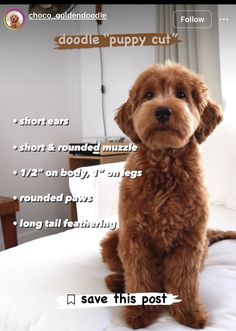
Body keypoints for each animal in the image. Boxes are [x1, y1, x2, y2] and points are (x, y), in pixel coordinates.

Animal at [100, 63, 236, 330]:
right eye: (148, 95)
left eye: (181, 94)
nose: (163, 111)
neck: (165, 164)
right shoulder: (134, 236)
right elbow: (139, 277)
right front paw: (140, 312)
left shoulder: (190, 240)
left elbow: (184, 280)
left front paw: (189, 312)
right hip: (112, 241)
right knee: (126, 270)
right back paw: (117, 282)